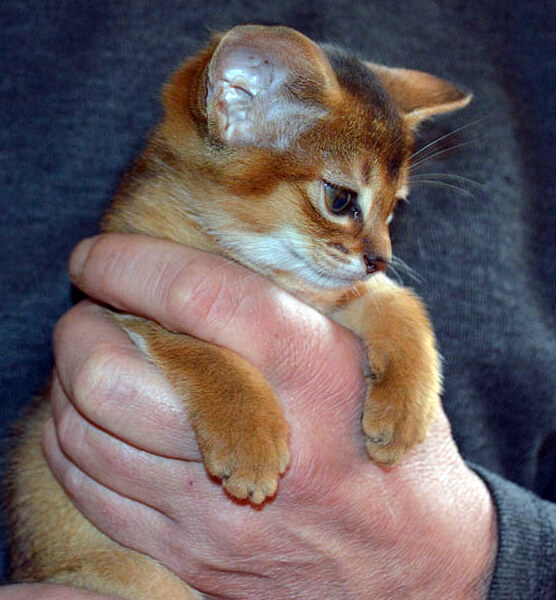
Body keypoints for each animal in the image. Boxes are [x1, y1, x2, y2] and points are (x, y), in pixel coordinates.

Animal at [7, 25, 471, 599]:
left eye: (393, 210)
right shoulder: (115, 298)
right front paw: (249, 435)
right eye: (341, 200)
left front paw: (405, 410)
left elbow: (397, 301)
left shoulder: (329, 295)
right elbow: (199, 347)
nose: (378, 259)